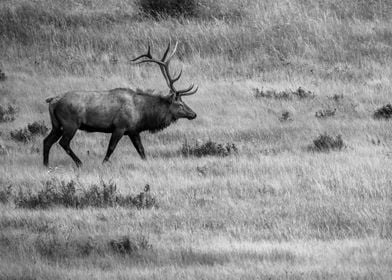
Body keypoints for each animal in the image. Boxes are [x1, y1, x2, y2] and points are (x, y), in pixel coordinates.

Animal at [43, 42, 198, 167]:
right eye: (180, 104)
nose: (194, 114)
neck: (142, 113)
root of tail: (52, 101)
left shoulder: (133, 130)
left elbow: (141, 150)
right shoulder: (120, 126)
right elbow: (111, 148)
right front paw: (103, 163)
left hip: (56, 125)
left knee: (47, 141)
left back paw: (46, 165)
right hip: (70, 123)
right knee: (63, 142)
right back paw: (79, 163)